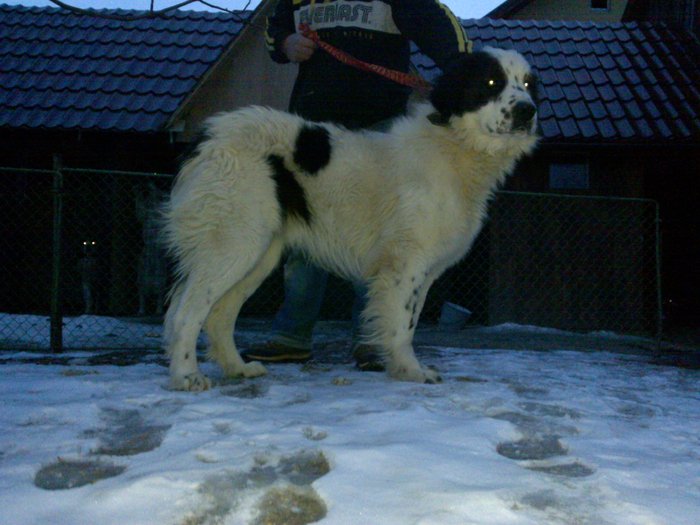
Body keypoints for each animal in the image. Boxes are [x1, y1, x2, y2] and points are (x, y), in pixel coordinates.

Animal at [164, 47, 540, 388]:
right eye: (491, 82)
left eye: (526, 83)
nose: (528, 110)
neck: (455, 145)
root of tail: (208, 135)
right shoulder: (406, 263)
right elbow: (402, 325)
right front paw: (410, 371)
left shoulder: (422, 270)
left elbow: (408, 321)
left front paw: (398, 366)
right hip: (234, 244)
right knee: (185, 313)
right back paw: (187, 376)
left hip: (258, 254)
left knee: (218, 315)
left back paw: (237, 368)